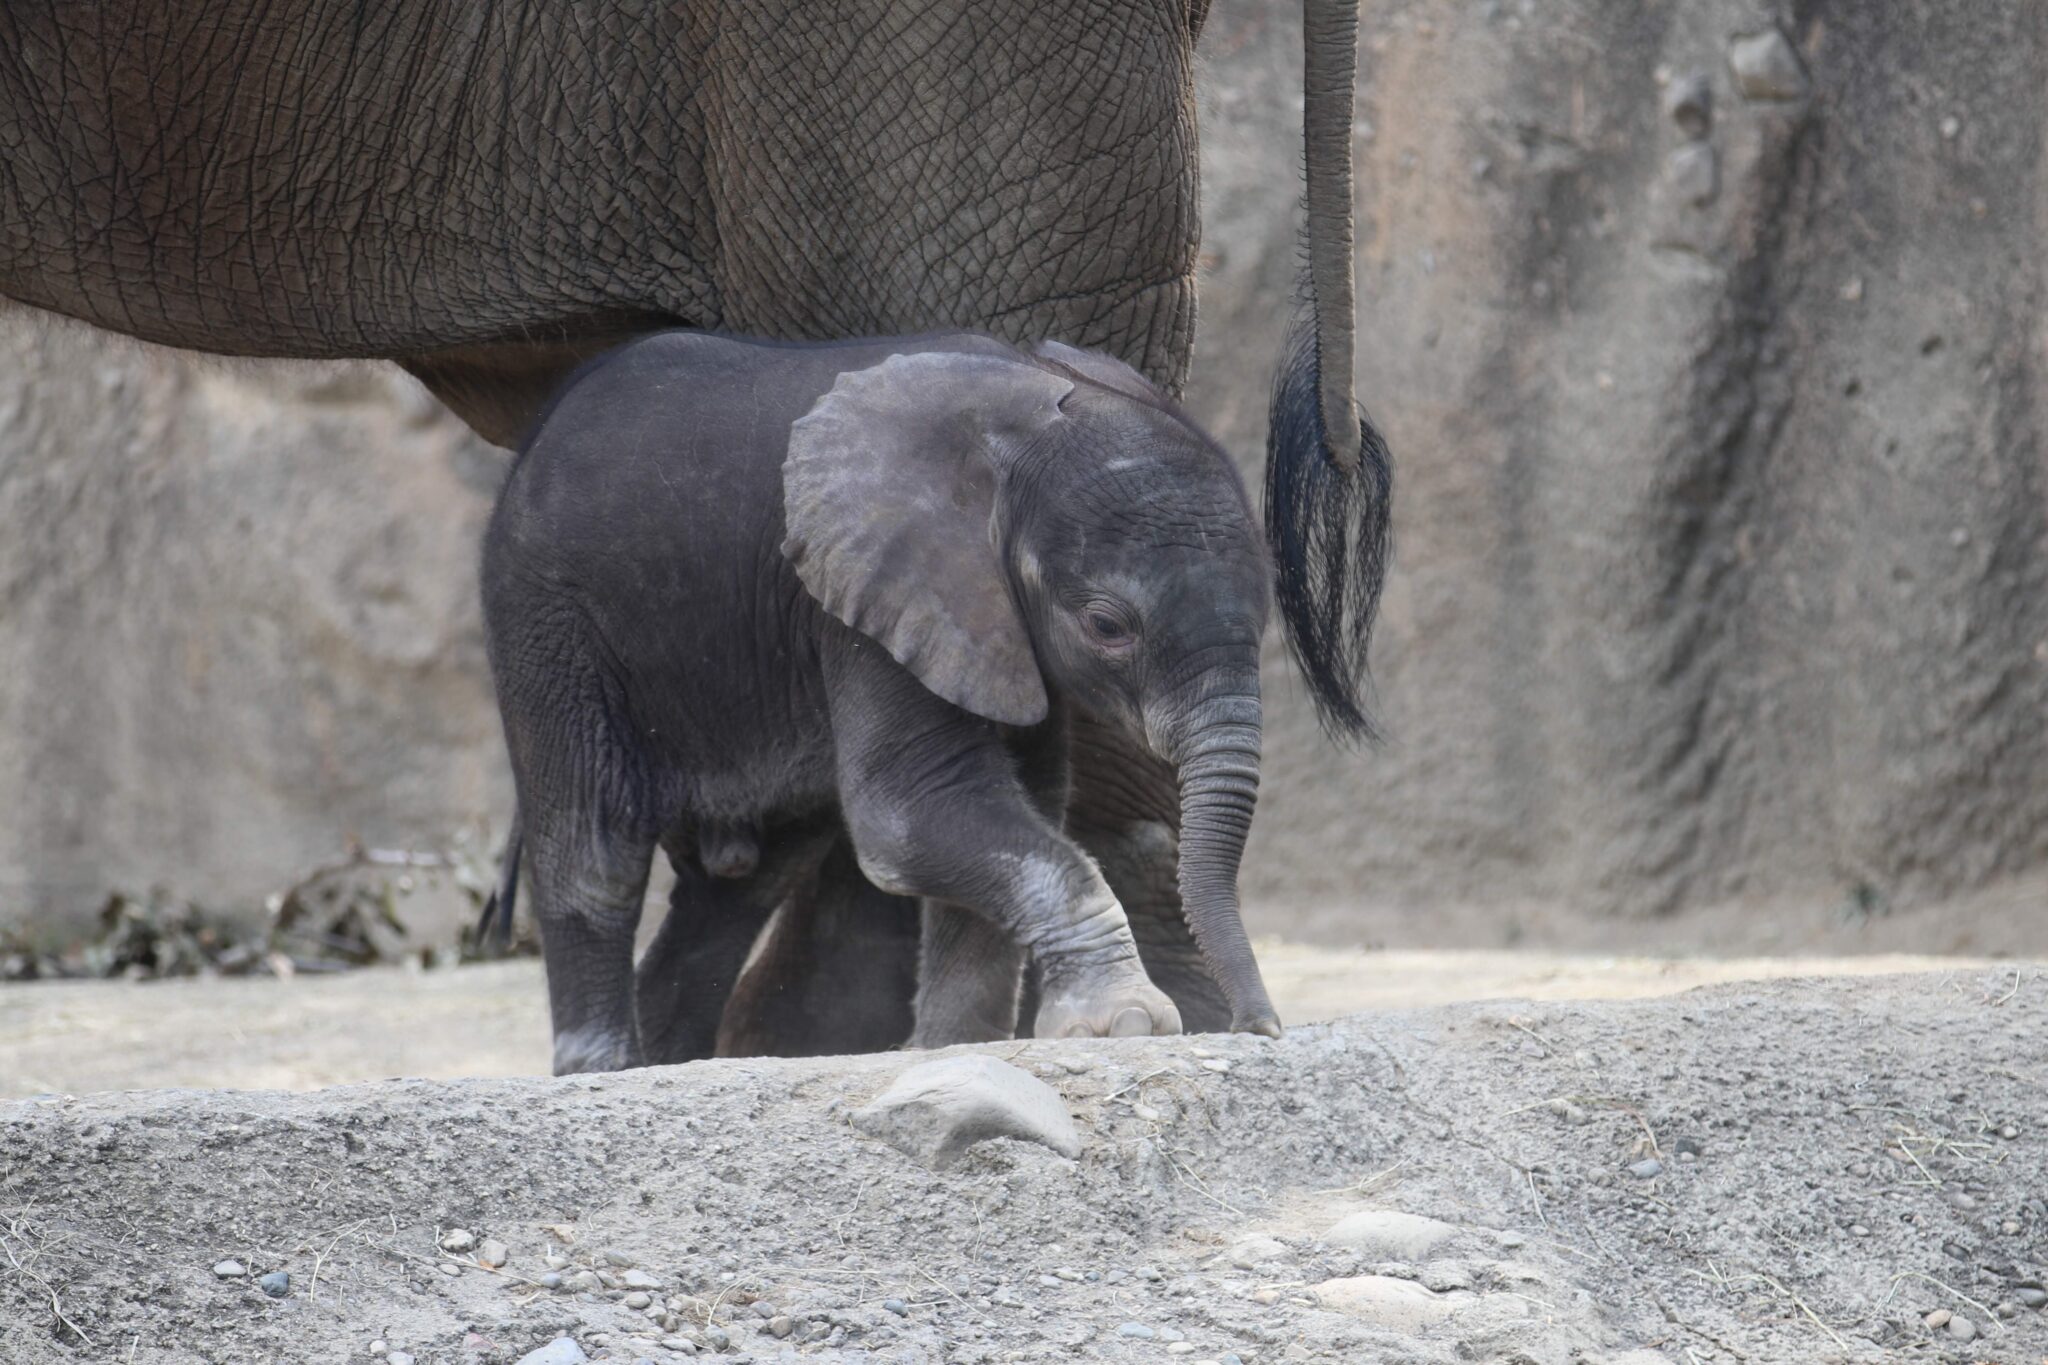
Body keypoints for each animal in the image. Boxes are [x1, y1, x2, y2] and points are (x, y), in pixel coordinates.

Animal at [485, 331, 1269, 1080]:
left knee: (739, 887)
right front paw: (1123, 1022)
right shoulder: (867, 594)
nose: (1256, 1025)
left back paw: (667, 1059)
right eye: (1107, 626)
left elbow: (1017, 803)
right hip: (547, 620)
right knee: (596, 850)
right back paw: (602, 1068)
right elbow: (909, 811)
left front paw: (954, 1046)